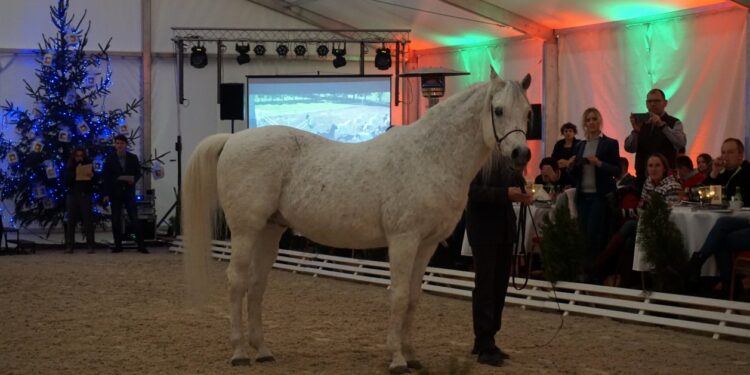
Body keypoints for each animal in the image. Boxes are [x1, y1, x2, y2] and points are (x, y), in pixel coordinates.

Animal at [183, 70, 536, 374]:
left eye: (528, 112)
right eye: (498, 110)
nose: (521, 154)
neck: (430, 157)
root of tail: (232, 140)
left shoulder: (427, 244)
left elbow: (414, 297)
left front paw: (412, 355)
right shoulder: (403, 240)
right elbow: (399, 295)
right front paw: (397, 359)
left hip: (270, 230)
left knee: (257, 286)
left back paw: (263, 351)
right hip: (246, 231)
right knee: (237, 283)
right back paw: (240, 352)